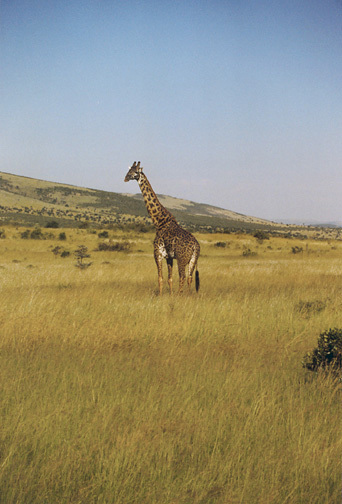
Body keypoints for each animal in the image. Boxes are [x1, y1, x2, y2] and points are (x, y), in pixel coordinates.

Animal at [125, 161, 200, 296]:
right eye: (129, 171)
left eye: (134, 172)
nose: (125, 178)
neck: (159, 222)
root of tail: (195, 246)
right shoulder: (169, 257)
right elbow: (169, 279)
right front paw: (169, 295)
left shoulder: (158, 253)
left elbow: (160, 278)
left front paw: (160, 296)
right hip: (193, 259)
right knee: (190, 278)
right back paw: (187, 296)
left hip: (182, 259)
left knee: (182, 277)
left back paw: (179, 296)